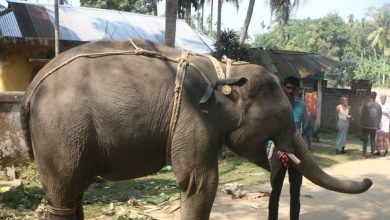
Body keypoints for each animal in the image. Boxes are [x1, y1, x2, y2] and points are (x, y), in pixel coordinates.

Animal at [19, 38, 372, 219]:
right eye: (279, 117)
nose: (369, 179)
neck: (226, 69)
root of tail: (31, 88)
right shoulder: (193, 118)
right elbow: (200, 183)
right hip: (61, 132)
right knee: (64, 195)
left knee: (73, 194)